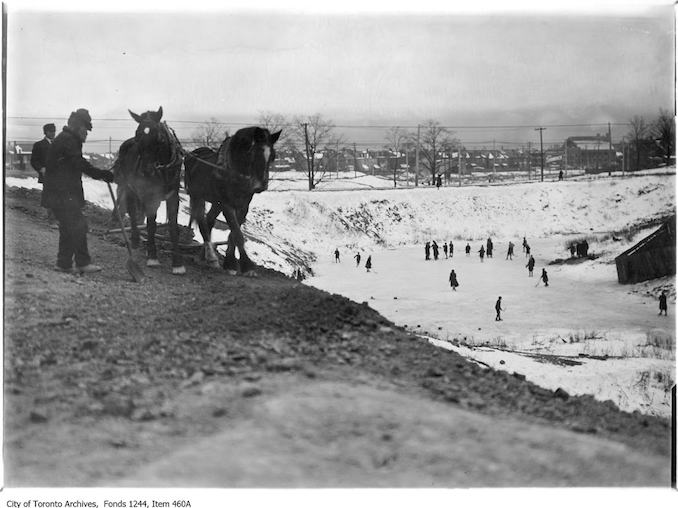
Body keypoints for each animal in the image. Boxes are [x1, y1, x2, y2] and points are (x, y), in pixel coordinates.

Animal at [113, 105, 186, 276]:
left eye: (159, 139)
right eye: (137, 135)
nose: (146, 171)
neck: (163, 169)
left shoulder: (173, 197)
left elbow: (173, 228)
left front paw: (178, 264)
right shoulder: (151, 196)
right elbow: (151, 225)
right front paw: (152, 257)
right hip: (129, 187)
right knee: (132, 210)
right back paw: (135, 239)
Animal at [183, 126, 282, 274]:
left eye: (273, 156)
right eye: (254, 153)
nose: (261, 185)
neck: (235, 172)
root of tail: (192, 155)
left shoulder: (243, 206)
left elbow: (233, 235)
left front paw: (230, 262)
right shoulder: (227, 205)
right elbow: (237, 234)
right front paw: (246, 266)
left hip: (215, 203)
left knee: (209, 221)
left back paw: (203, 256)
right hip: (197, 197)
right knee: (202, 223)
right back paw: (210, 257)